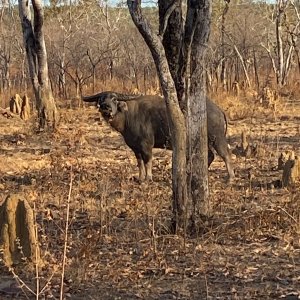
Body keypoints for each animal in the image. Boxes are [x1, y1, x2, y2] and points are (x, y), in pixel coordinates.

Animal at [82, 91, 234, 182]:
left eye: (114, 99)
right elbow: (139, 163)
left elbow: (148, 161)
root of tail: (218, 110)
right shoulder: (135, 148)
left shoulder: (146, 145)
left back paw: (230, 178)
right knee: (210, 155)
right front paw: (140, 178)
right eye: (101, 98)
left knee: (226, 155)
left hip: (217, 138)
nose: (106, 108)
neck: (128, 116)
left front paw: (148, 178)